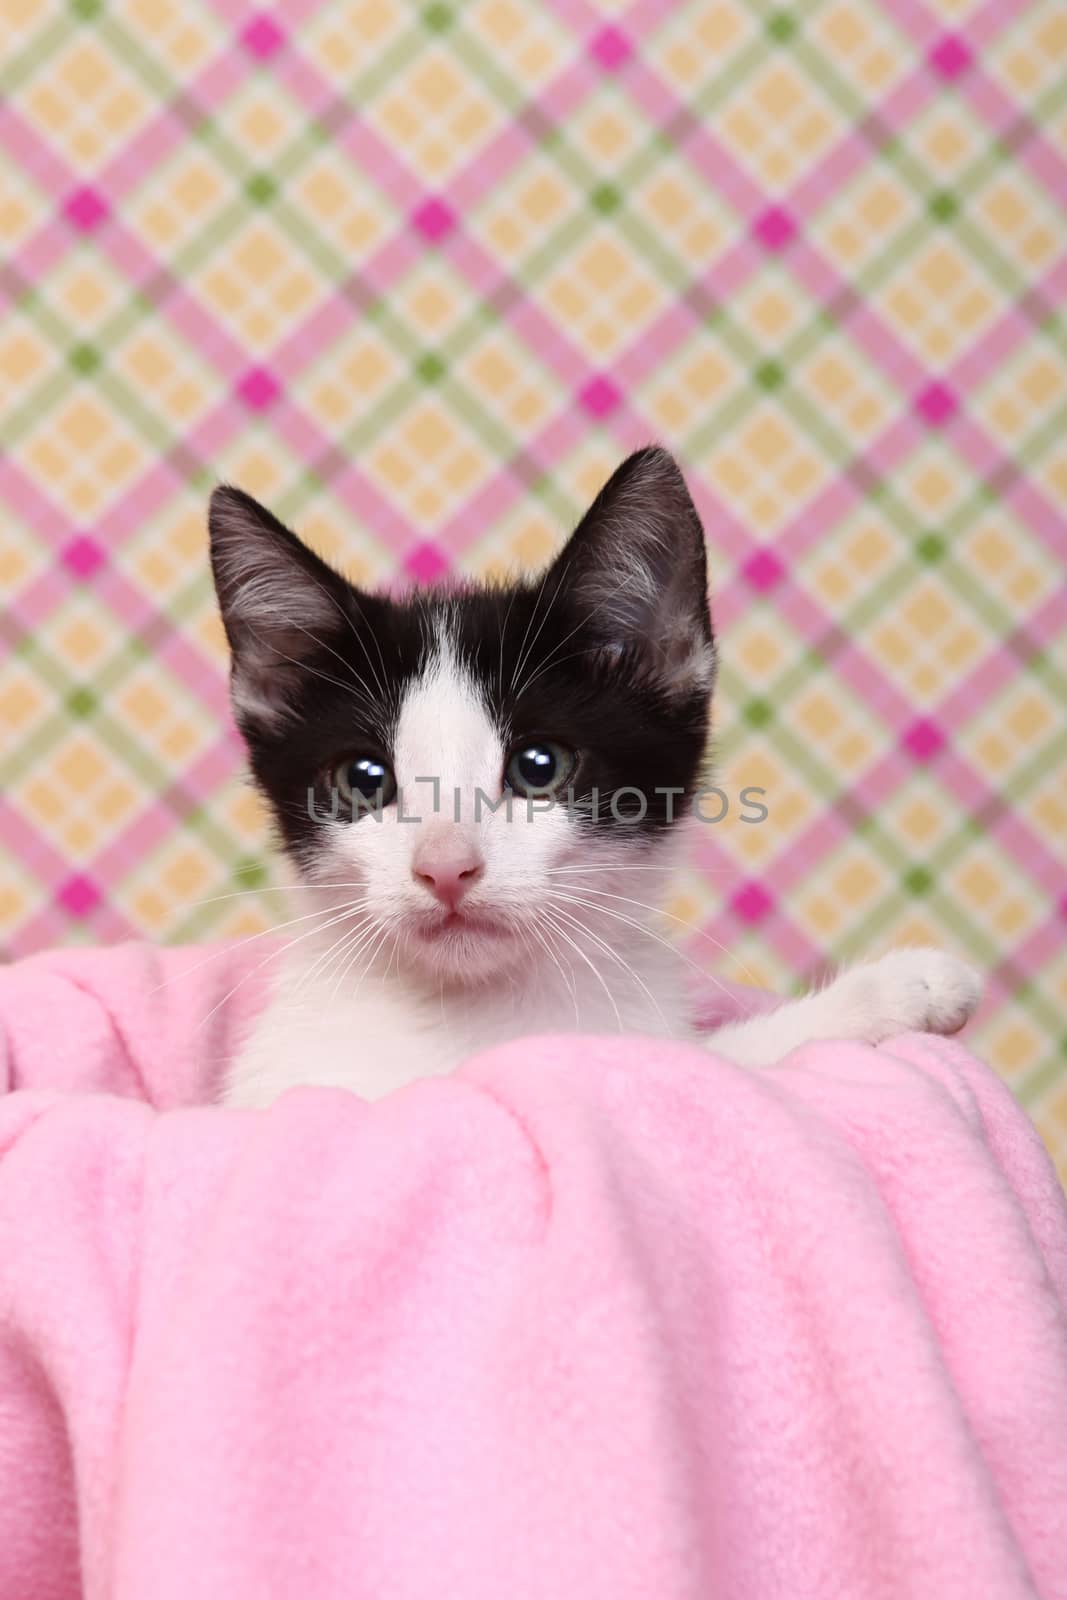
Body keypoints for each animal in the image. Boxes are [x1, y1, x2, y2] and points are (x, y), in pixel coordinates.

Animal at [211, 444, 985, 1107]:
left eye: (539, 766)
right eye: (365, 778)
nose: (445, 868)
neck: (476, 1018)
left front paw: (900, 989)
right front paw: (899, 986)